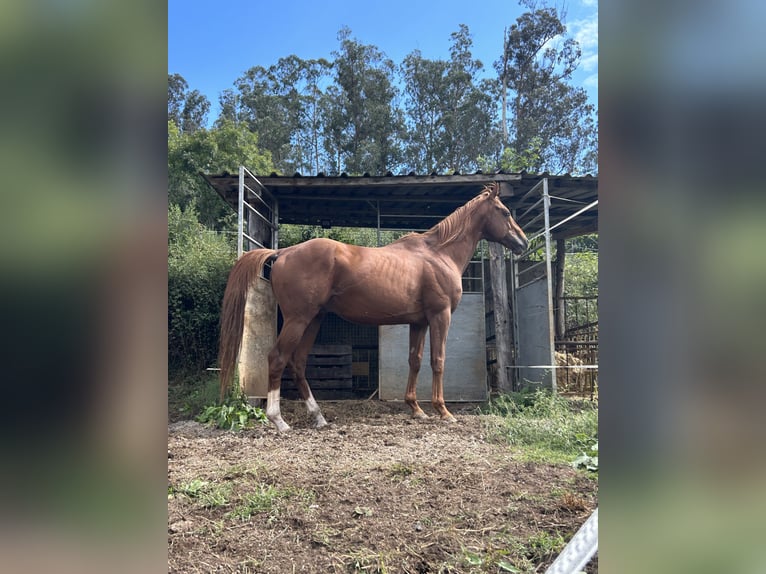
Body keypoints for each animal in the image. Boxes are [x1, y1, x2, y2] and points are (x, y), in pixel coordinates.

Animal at [216, 183, 528, 432]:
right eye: (505, 212)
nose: (523, 242)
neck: (439, 254)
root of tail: (283, 252)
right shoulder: (440, 316)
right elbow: (438, 361)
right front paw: (443, 411)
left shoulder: (419, 322)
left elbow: (414, 361)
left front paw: (416, 410)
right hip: (298, 320)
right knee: (278, 358)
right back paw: (279, 420)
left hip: (313, 320)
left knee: (298, 363)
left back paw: (319, 417)